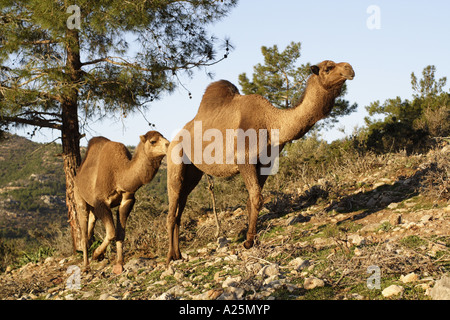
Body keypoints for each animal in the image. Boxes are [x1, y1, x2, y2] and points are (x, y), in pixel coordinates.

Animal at [74, 131, 169, 274]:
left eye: (164, 137)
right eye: (153, 141)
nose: (169, 144)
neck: (119, 175)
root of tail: (77, 174)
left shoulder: (127, 200)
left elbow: (120, 233)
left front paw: (119, 263)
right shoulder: (101, 202)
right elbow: (112, 233)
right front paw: (96, 254)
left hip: (92, 207)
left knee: (91, 223)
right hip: (79, 198)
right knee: (84, 232)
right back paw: (86, 266)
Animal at [166, 59, 356, 262]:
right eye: (328, 68)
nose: (349, 68)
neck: (272, 122)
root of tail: (174, 139)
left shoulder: (266, 163)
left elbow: (252, 200)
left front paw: (253, 239)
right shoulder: (244, 158)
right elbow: (257, 198)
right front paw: (248, 242)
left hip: (193, 172)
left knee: (180, 208)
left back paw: (178, 254)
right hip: (175, 160)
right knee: (172, 209)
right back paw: (169, 256)